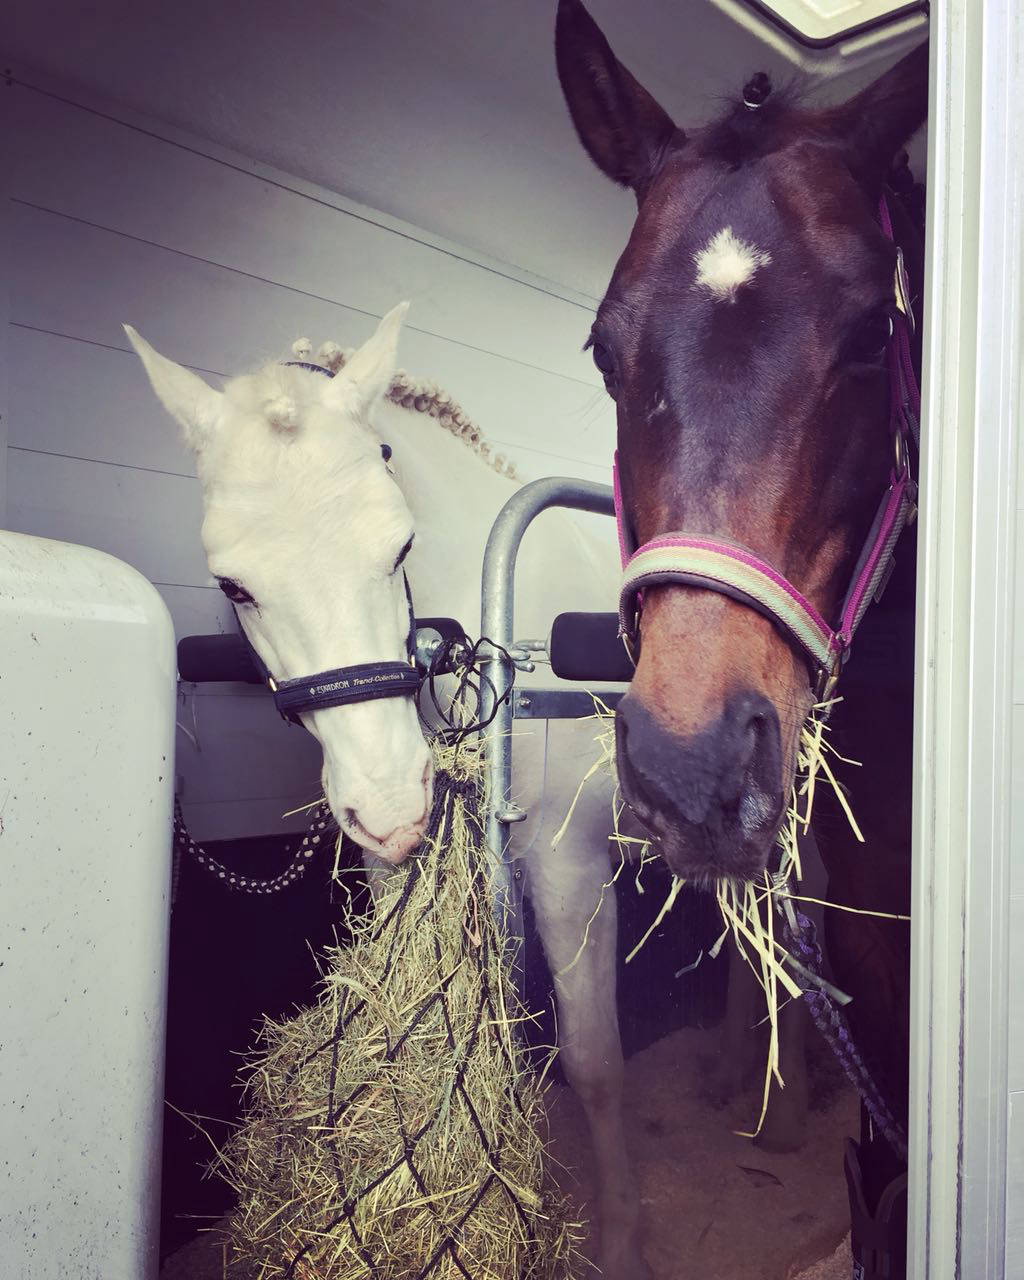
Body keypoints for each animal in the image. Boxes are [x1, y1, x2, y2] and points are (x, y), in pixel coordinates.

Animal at [126, 304, 647, 1274]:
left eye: (399, 543)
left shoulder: (570, 866)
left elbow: (597, 1064)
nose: (394, 804)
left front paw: (627, 1240)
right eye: (232, 585)